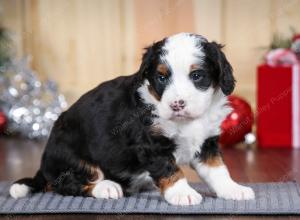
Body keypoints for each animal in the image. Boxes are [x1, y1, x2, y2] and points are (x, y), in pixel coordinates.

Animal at [9, 33, 254, 205]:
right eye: (161, 77)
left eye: (197, 76)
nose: (177, 104)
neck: (186, 120)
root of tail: (43, 167)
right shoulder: (151, 143)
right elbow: (170, 169)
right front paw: (182, 193)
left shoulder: (207, 143)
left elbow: (218, 170)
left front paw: (233, 189)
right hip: (70, 155)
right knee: (70, 184)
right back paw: (107, 187)